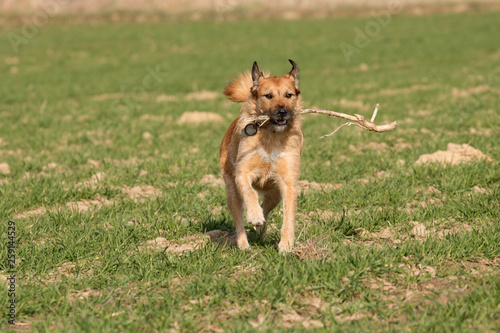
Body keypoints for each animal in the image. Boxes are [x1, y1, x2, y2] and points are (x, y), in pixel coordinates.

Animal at [220, 59, 304, 252]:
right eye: (268, 96)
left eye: (289, 95)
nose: (282, 112)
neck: (271, 135)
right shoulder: (242, 173)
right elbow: (250, 193)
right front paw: (254, 215)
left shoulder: (288, 182)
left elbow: (289, 215)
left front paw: (286, 245)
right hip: (232, 192)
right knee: (239, 220)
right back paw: (244, 244)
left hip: (274, 195)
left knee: (266, 208)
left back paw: (261, 232)